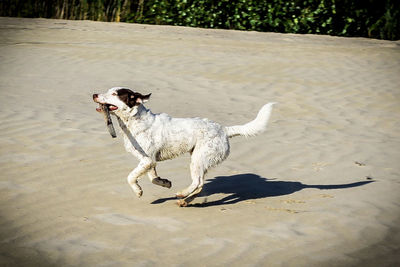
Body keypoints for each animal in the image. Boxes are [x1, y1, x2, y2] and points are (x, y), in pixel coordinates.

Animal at [93, 88, 276, 207]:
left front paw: (138, 190)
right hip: (200, 159)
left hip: (199, 158)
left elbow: (131, 177)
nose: (94, 95)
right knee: (200, 185)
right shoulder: (151, 161)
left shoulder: (146, 160)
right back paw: (184, 200)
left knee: (197, 182)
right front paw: (164, 183)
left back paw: (182, 194)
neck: (135, 120)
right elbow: (153, 177)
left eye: (114, 94)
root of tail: (224, 130)